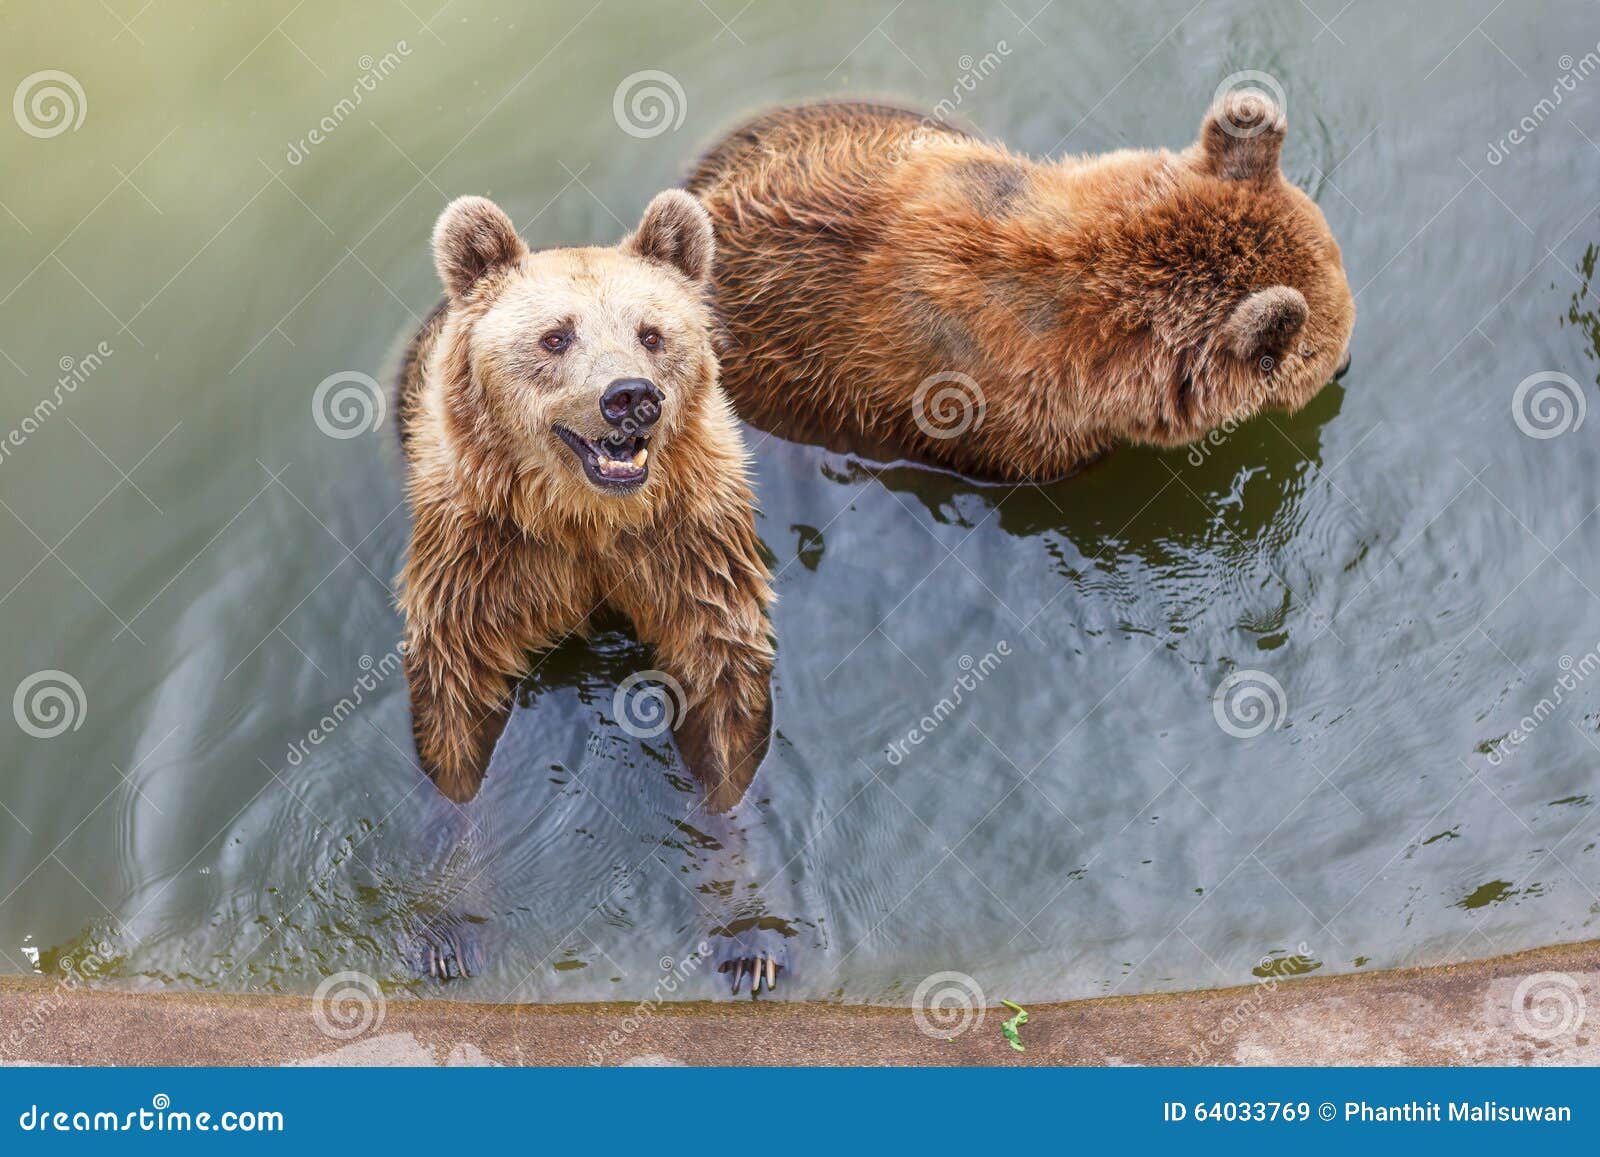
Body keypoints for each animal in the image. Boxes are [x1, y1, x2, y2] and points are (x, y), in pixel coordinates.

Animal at [393, 194, 780, 992]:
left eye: (652, 332)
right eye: (555, 335)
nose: (628, 396)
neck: (583, 518)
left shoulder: (686, 543)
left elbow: (722, 691)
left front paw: (748, 935)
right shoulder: (483, 555)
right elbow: (456, 707)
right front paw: (448, 928)